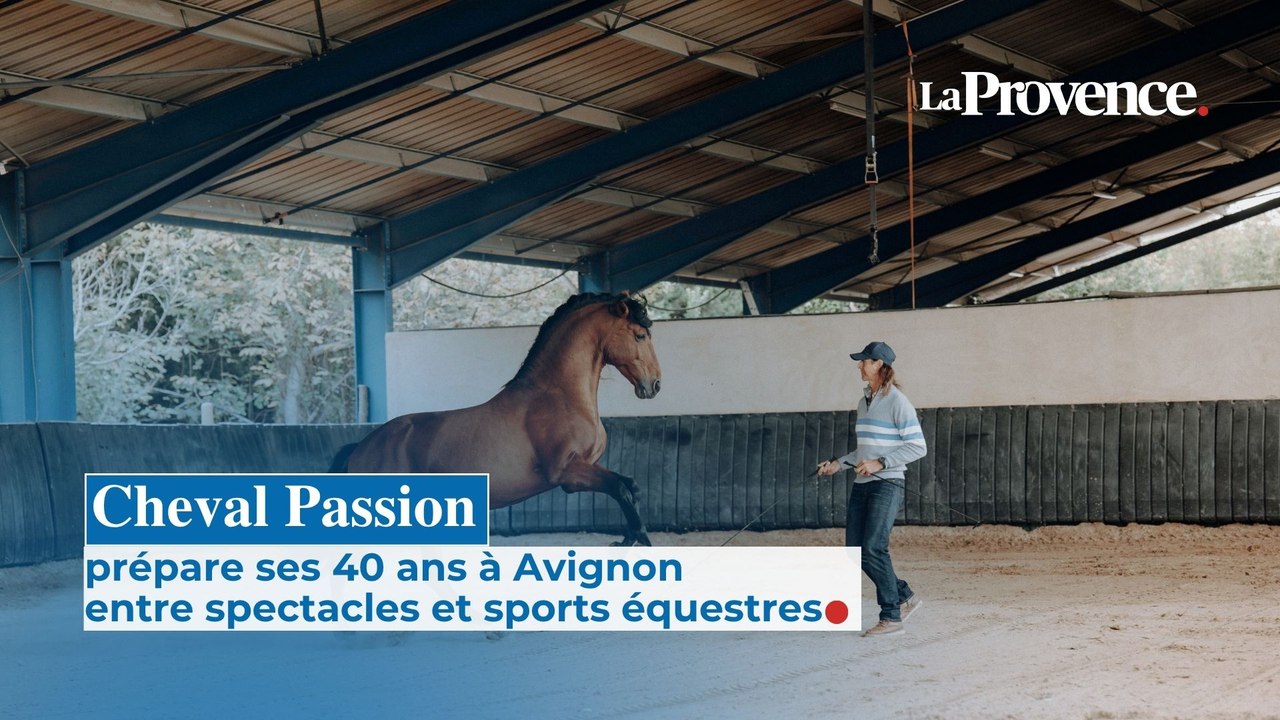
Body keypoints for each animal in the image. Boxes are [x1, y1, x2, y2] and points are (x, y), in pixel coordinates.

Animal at [329, 292, 662, 546]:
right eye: (640, 335)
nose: (655, 384)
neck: (559, 395)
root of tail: (360, 449)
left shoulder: (586, 466)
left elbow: (629, 487)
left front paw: (629, 537)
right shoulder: (565, 472)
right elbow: (620, 488)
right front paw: (638, 537)